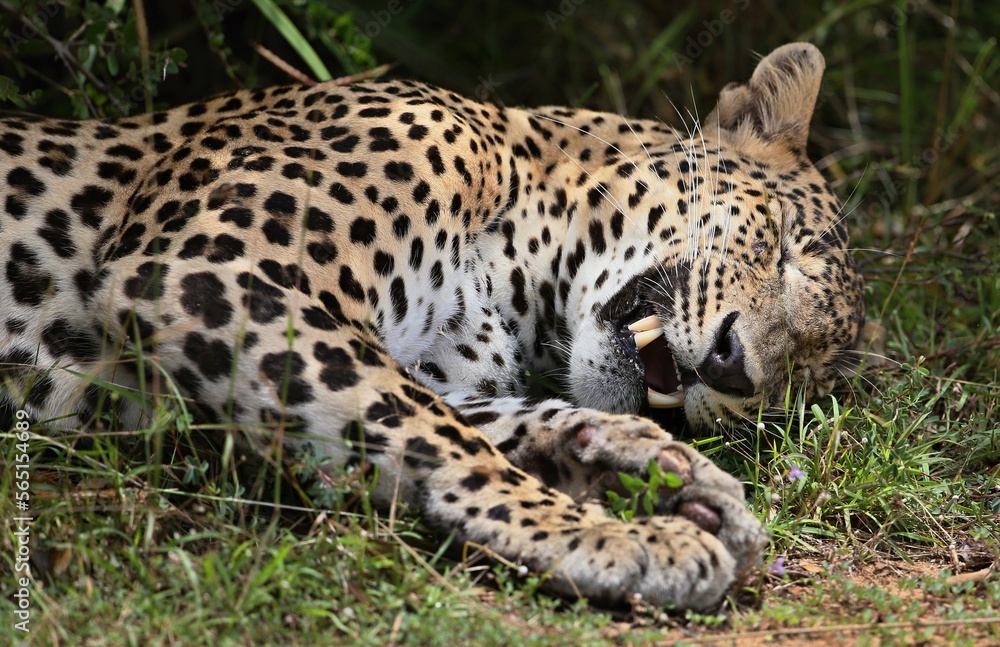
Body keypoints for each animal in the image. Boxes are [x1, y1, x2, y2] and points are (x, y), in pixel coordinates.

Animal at [0, 42, 877, 610]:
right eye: (785, 245)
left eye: (796, 381)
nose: (735, 368)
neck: (513, 266)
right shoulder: (215, 268)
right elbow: (442, 435)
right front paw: (618, 538)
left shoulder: (415, 364)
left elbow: (469, 422)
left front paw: (660, 474)